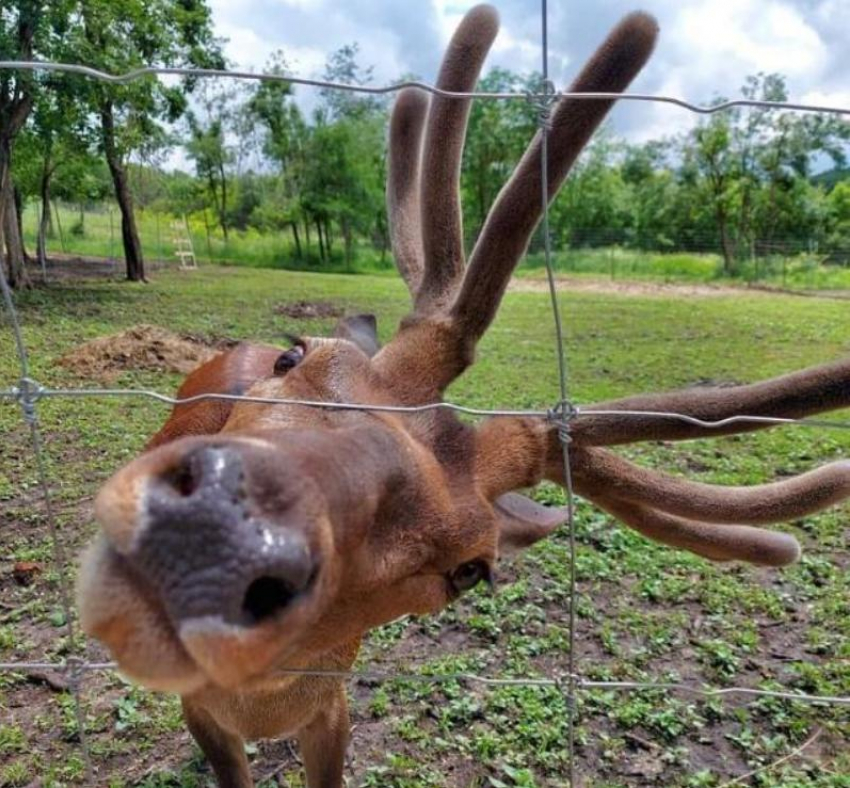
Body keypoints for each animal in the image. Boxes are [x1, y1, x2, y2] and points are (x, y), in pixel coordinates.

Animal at [74, 7, 848, 788]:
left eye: (469, 571)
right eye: (296, 355)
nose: (211, 543)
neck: (261, 704)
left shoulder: (333, 706)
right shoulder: (201, 713)